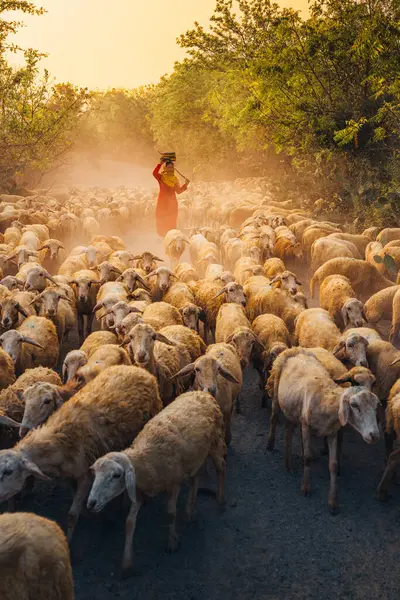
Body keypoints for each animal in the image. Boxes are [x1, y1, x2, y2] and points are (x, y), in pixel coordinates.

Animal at [0, 364, 162, 540]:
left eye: (8, 471)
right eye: (25, 401)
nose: (23, 431)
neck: (58, 438)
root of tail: (135, 368)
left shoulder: (86, 475)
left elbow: (72, 515)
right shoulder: (69, 475)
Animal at [86, 392, 225, 576]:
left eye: (116, 475)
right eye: (95, 474)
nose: (91, 503)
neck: (145, 458)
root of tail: (202, 393)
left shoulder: (173, 484)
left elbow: (170, 514)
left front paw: (172, 542)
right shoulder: (138, 492)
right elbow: (129, 523)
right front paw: (126, 563)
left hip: (215, 443)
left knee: (221, 467)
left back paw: (221, 500)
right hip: (194, 459)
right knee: (195, 479)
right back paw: (189, 511)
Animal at [268, 350, 380, 512]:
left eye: (376, 405)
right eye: (354, 405)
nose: (374, 435)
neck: (325, 398)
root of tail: (295, 351)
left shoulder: (331, 433)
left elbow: (333, 465)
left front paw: (333, 502)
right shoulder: (306, 427)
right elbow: (308, 457)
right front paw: (306, 487)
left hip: (293, 410)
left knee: (288, 431)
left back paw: (288, 465)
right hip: (277, 397)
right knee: (274, 418)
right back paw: (270, 445)